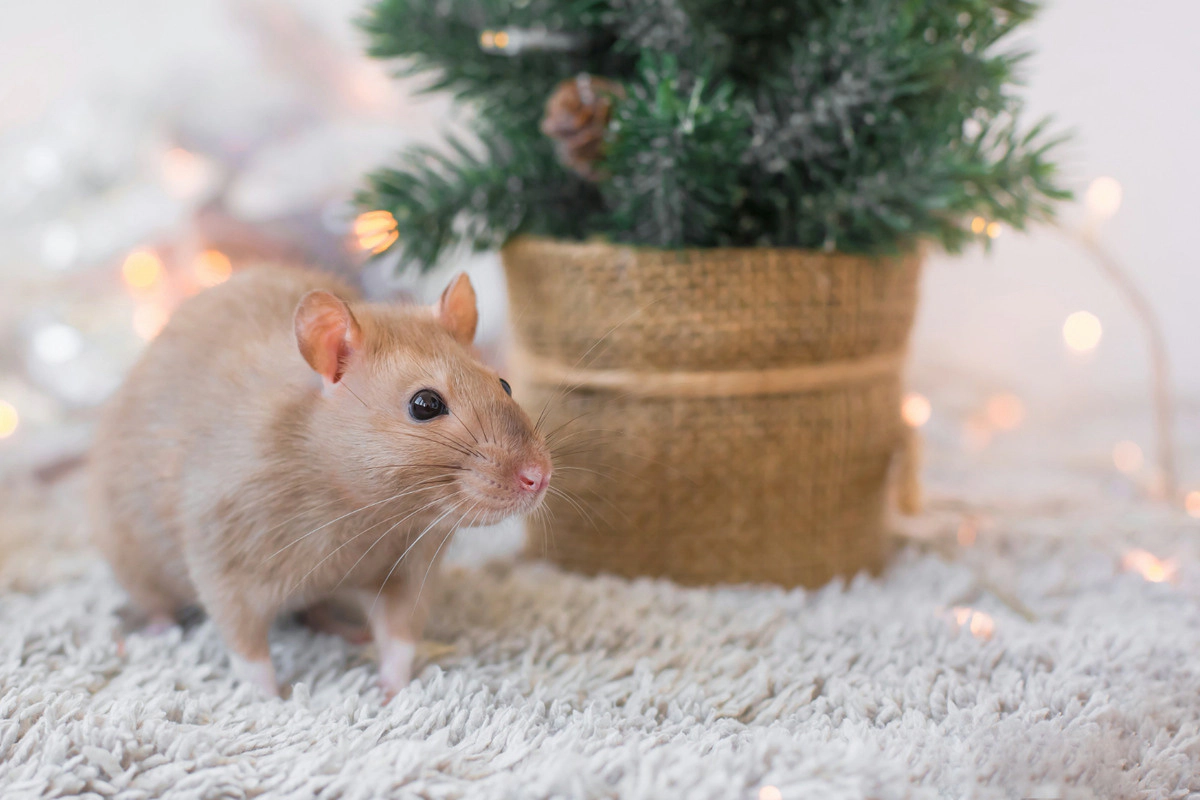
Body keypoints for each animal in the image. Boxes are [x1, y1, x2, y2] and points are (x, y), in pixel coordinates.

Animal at [89, 265, 552, 698]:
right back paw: (156, 629)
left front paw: (394, 687)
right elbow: (242, 635)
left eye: (504, 384)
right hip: (130, 557)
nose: (539, 477)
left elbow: (400, 627)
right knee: (154, 600)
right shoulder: (225, 540)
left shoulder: (410, 558)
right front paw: (267, 699)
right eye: (425, 404)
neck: (364, 511)